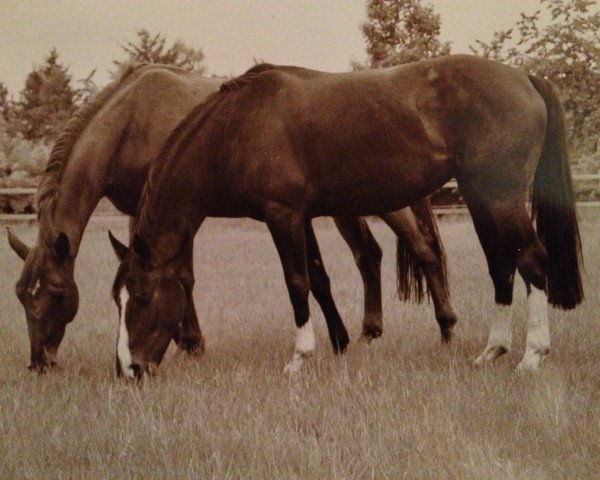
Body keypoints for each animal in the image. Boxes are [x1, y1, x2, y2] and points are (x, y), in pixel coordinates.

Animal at [7, 62, 454, 374]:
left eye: (56, 295)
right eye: (21, 297)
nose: (39, 361)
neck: (133, 117)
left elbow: (185, 277)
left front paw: (191, 343)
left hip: (386, 201)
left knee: (423, 250)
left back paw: (443, 329)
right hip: (347, 206)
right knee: (369, 255)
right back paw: (369, 332)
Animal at [111, 55, 580, 378]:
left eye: (144, 297)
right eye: (117, 299)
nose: (127, 369)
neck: (238, 126)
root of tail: (525, 79)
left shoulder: (283, 216)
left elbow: (297, 282)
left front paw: (299, 359)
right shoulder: (301, 217)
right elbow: (316, 276)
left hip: (501, 198)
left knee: (532, 260)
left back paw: (532, 356)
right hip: (482, 196)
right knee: (502, 266)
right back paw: (491, 351)